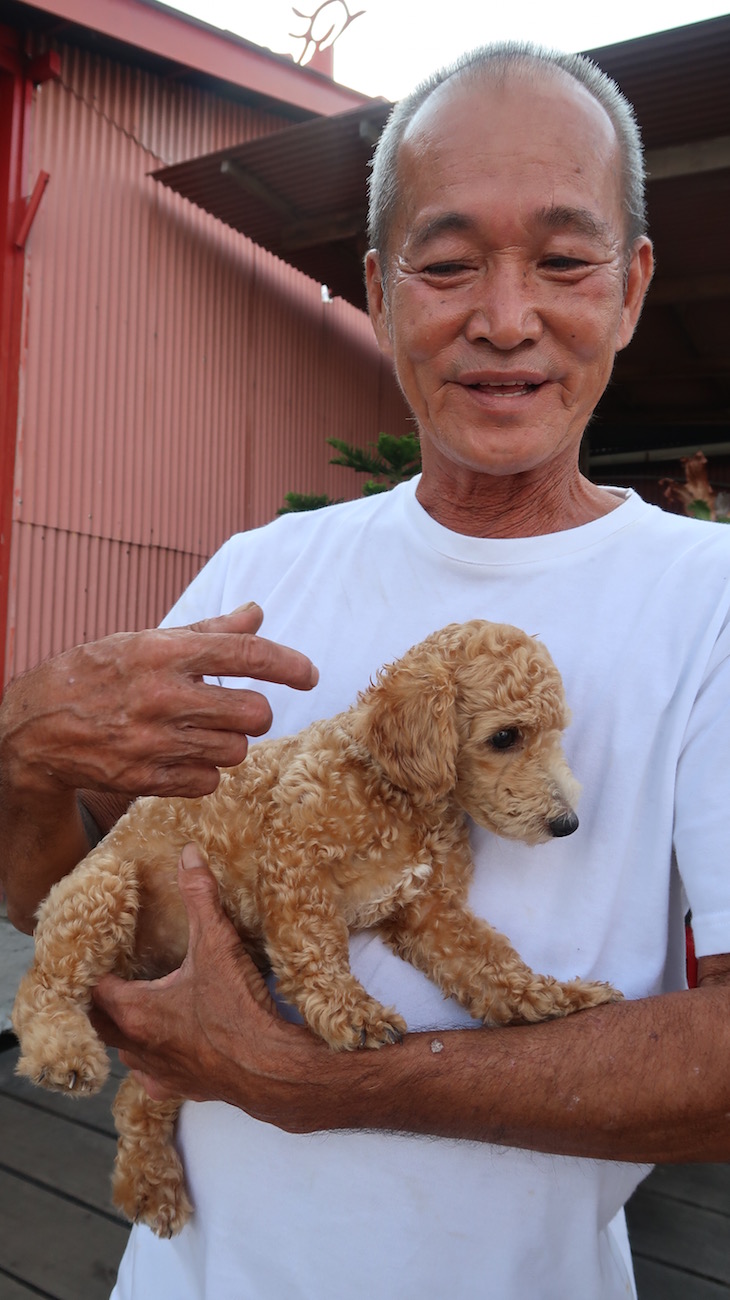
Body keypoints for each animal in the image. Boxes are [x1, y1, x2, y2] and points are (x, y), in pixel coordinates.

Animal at [14, 618, 615, 1237]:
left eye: (555, 734)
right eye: (506, 737)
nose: (568, 823)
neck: (395, 792)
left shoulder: (427, 910)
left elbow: (488, 962)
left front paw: (554, 998)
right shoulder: (296, 861)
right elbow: (315, 946)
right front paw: (354, 1013)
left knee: (137, 1096)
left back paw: (149, 1181)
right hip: (102, 889)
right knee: (41, 989)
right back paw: (63, 1056)